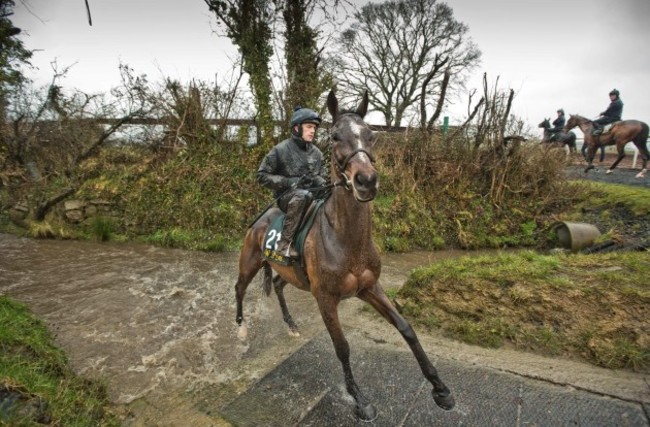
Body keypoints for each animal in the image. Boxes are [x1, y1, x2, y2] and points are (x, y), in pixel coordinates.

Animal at [234, 89, 456, 422]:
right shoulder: (325, 298)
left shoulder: (369, 287)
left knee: (277, 284)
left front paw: (440, 388)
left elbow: (406, 328)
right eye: (335, 136)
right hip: (249, 262)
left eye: (371, 135)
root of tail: (261, 219)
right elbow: (342, 347)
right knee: (239, 288)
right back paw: (241, 330)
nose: (366, 180)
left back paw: (290, 325)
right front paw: (359, 400)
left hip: (292, 275)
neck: (346, 239)